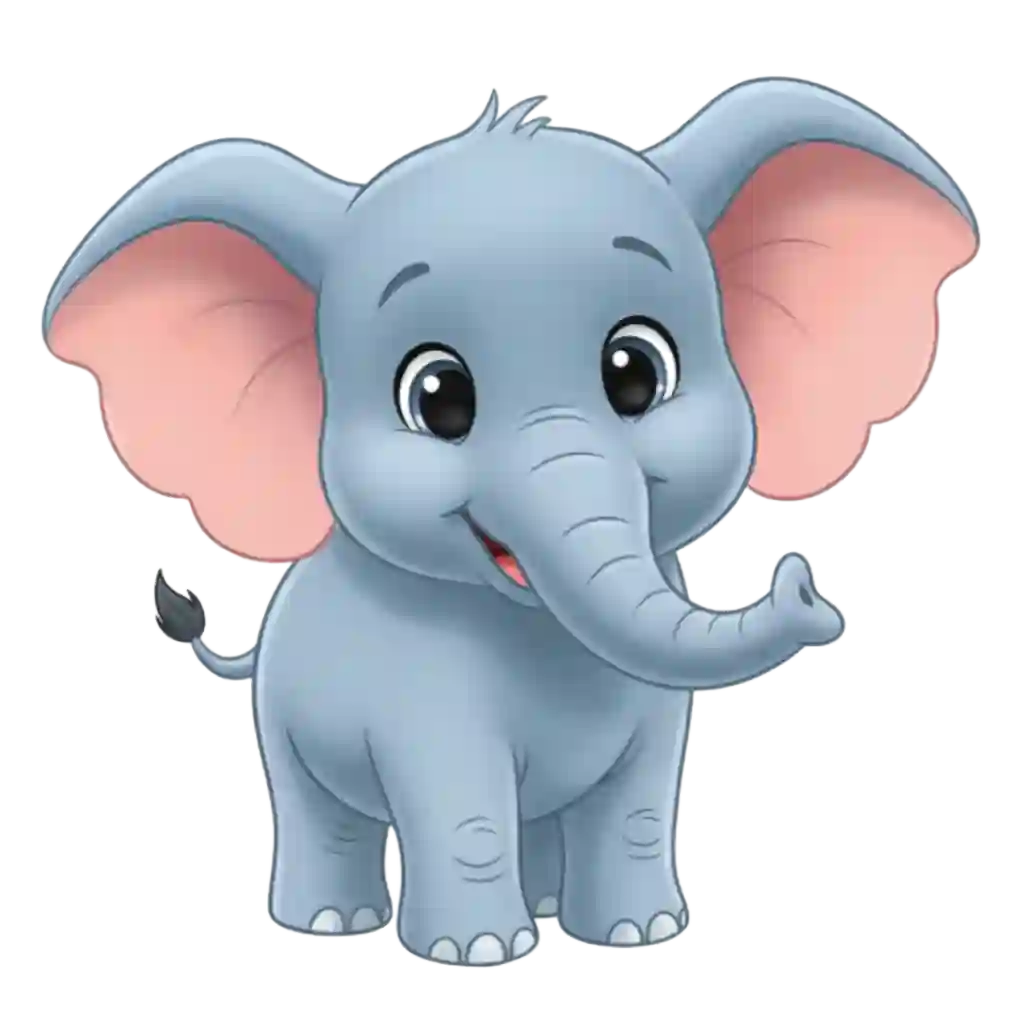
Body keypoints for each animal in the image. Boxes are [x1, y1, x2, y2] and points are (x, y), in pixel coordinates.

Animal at [42, 79, 980, 965]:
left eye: (635, 372)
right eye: (438, 398)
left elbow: (639, 798)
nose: (804, 586)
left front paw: (638, 933)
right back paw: (331, 922)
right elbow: (461, 802)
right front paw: (480, 953)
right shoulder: (417, 684)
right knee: (321, 809)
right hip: (280, 709)